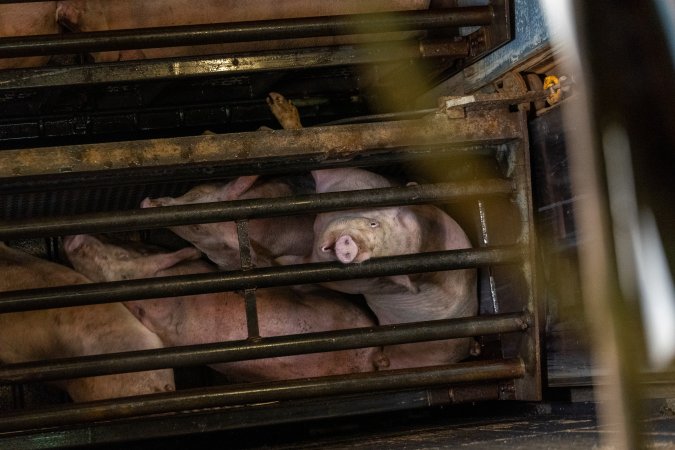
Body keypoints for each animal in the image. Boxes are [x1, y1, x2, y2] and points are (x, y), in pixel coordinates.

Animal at [266, 91, 478, 370]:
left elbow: (304, 267)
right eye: (374, 223)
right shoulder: (353, 179)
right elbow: (319, 158)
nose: (351, 245)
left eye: (379, 261)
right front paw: (279, 104)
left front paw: (274, 261)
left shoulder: (347, 282)